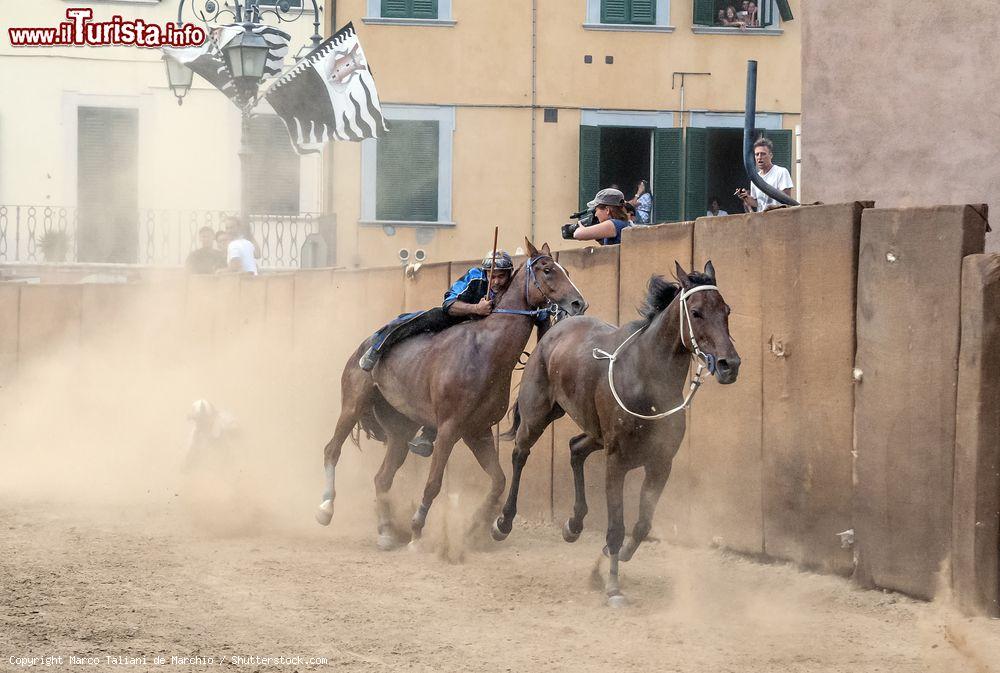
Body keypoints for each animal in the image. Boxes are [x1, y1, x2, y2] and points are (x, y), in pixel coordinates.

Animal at [316, 239, 588, 548]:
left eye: (566, 270)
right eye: (547, 270)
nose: (579, 303)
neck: (485, 352)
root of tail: (362, 346)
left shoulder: (477, 430)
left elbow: (498, 480)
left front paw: (478, 527)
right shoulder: (449, 428)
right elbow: (433, 483)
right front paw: (417, 531)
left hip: (400, 428)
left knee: (382, 478)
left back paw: (385, 531)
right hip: (353, 402)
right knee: (332, 449)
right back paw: (326, 508)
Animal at [492, 262, 744, 604]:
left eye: (726, 310)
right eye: (696, 312)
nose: (729, 364)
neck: (645, 380)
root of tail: (557, 328)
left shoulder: (660, 464)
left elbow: (641, 525)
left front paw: (613, 559)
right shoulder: (617, 462)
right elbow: (616, 525)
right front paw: (612, 585)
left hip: (594, 431)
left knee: (575, 448)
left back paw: (573, 524)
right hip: (539, 414)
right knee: (521, 453)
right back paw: (503, 522)